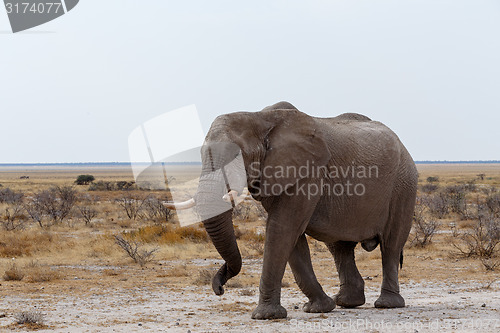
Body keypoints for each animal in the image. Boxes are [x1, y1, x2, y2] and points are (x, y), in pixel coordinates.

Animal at [164, 101, 418, 320]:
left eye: (237, 157)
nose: (219, 288)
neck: (258, 118)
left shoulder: (307, 173)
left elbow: (283, 228)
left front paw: (265, 316)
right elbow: (292, 237)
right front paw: (318, 308)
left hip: (404, 185)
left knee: (391, 245)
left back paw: (387, 304)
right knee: (339, 247)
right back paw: (346, 302)